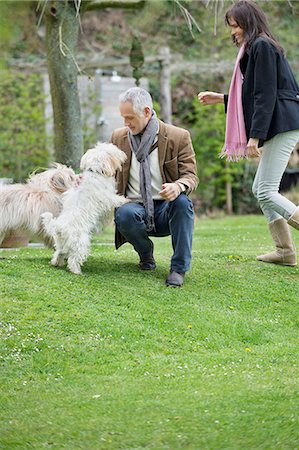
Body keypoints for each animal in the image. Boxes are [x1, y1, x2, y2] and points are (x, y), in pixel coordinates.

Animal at [41, 142, 127, 274]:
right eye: (114, 150)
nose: (123, 153)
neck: (95, 172)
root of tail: (59, 227)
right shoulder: (107, 198)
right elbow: (115, 199)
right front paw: (126, 200)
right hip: (80, 243)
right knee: (73, 259)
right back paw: (77, 271)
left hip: (62, 244)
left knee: (59, 253)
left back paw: (57, 263)